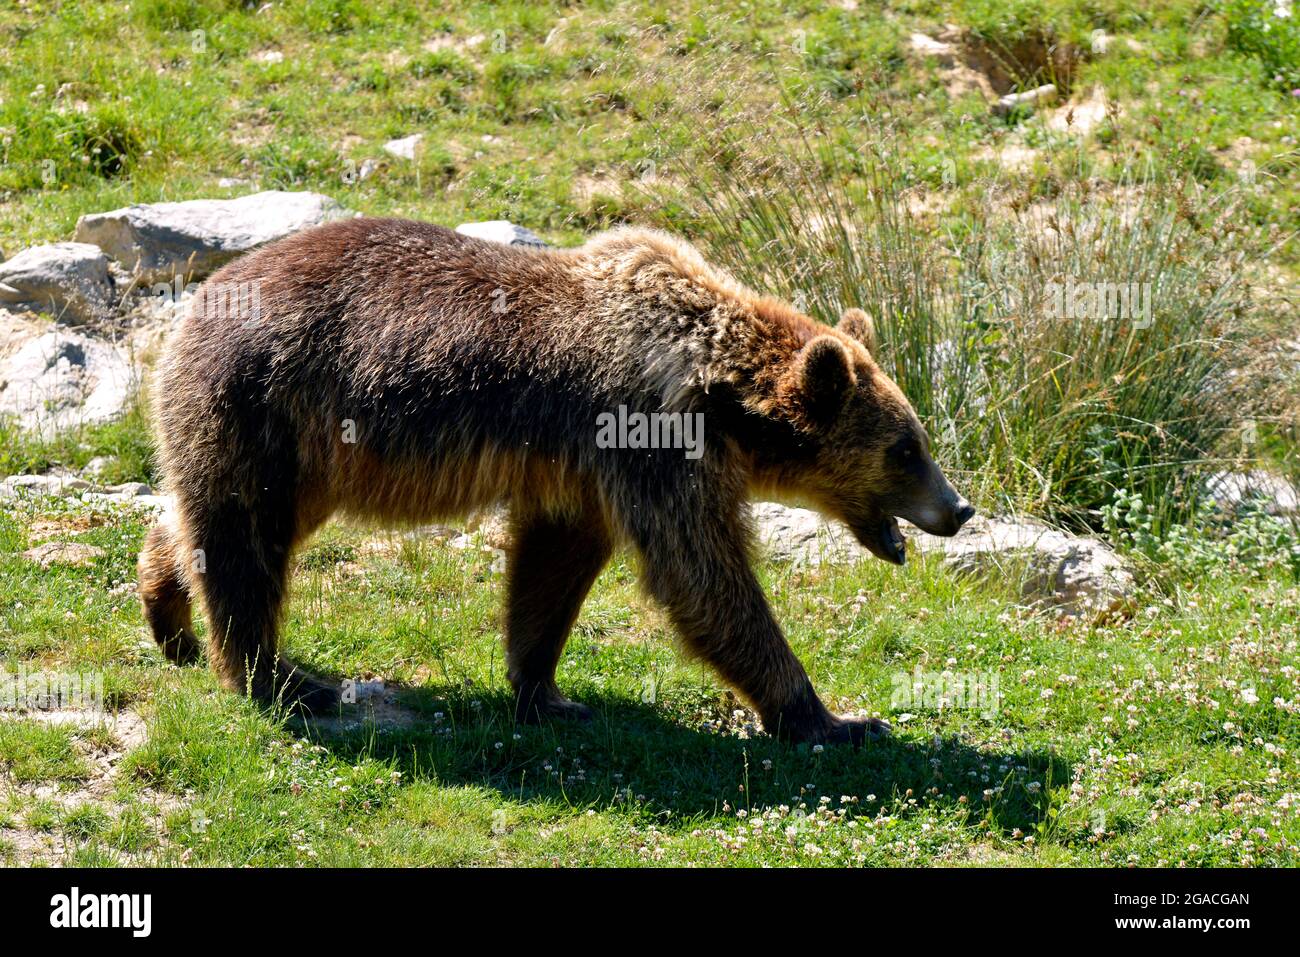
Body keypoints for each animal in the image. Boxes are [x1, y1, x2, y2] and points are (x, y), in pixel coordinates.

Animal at [139, 218, 977, 748]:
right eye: (907, 447)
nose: (959, 507)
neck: (719, 393)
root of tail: (194, 303)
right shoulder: (648, 438)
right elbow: (702, 573)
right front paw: (832, 717)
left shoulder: (583, 468)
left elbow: (553, 564)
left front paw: (545, 689)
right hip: (270, 405)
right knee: (246, 542)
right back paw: (277, 676)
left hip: (306, 453)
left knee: (207, 522)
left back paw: (167, 613)